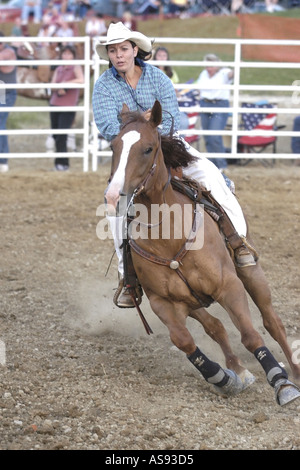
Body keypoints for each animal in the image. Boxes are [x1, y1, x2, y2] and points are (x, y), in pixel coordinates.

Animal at [105, 101, 300, 406]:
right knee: (215, 326)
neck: (169, 236)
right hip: (192, 302)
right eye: (114, 147)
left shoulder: (229, 285)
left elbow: (250, 335)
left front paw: (281, 382)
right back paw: (237, 370)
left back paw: (293, 370)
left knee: (272, 322)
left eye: (148, 148)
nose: (115, 195)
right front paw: (222, 377)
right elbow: (184, 341)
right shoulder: (162, 302)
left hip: (250, 273)